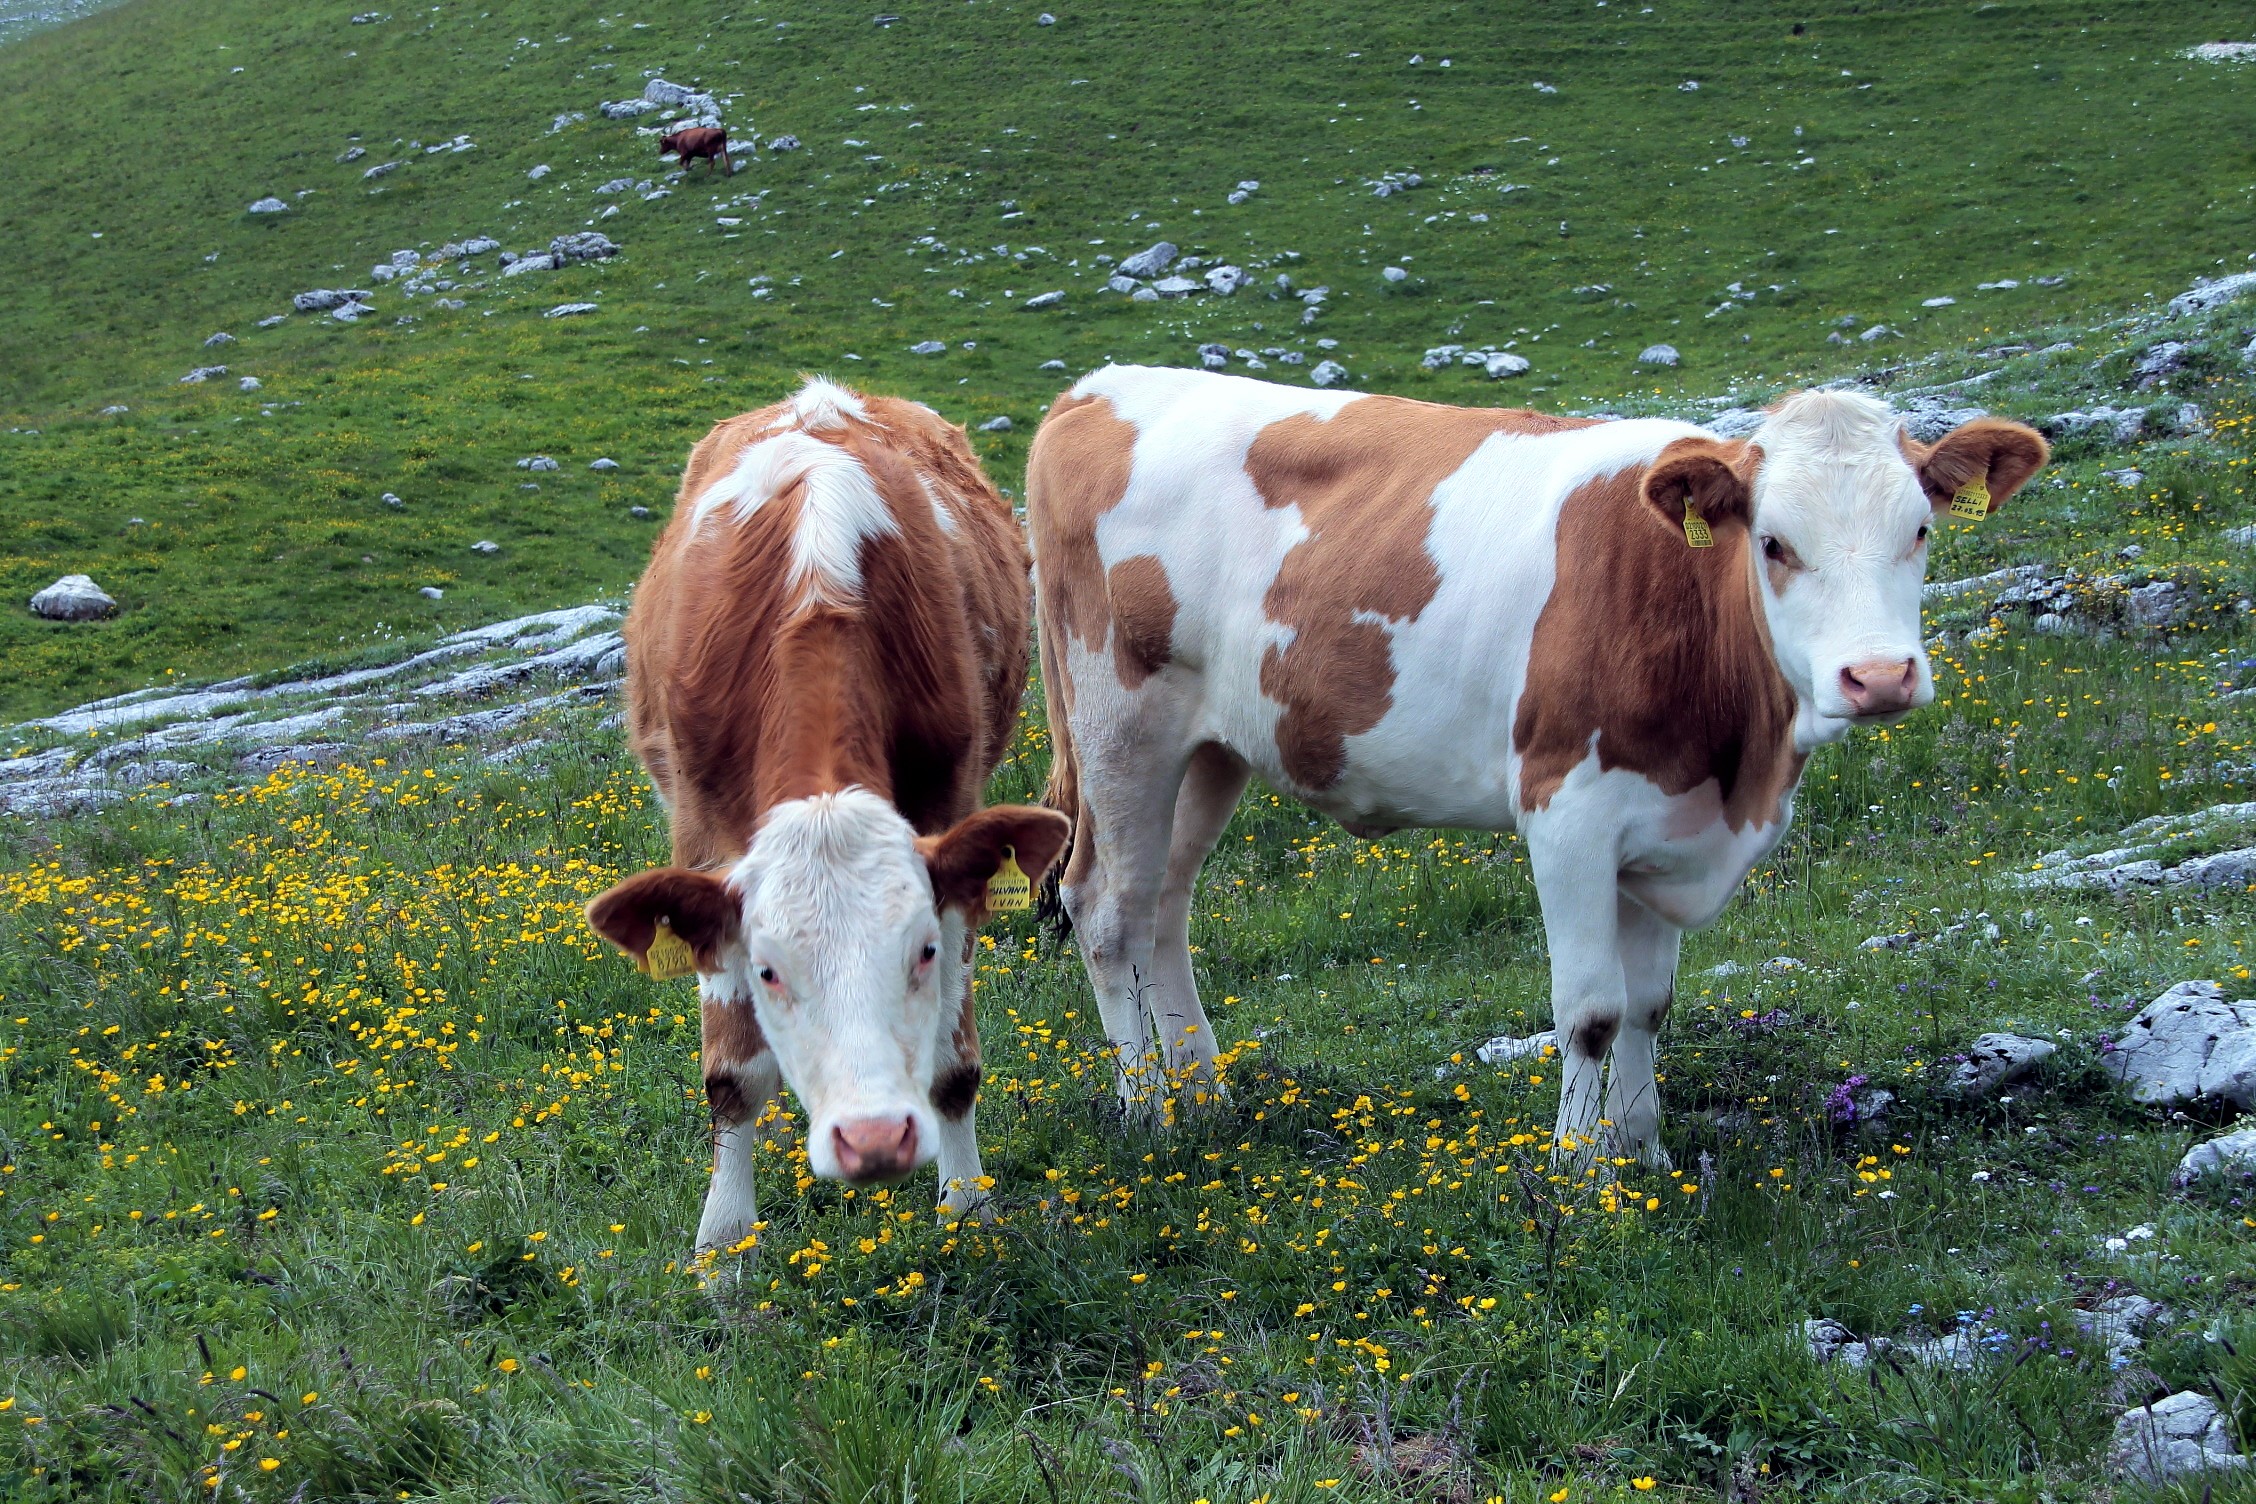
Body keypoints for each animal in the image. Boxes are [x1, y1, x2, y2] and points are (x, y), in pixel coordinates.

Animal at [586, 376, 1069, 1250]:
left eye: (919, 952)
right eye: (769, 969)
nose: (872, 1138)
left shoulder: (952, 835)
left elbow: (953, 1063)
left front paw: (966, 1206)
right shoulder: (704, 851)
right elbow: (733, 1078)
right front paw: (721, 1248)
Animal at [1027, 365, 2045, 1166]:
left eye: (1921, 531)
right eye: (1773, 543)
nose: (1879, 676)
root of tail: (1102, 388)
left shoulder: (1664, 820)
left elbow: (1649, 1005)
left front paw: (1645, 1153)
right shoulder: (1568, 813)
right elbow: (1591, 1008)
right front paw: (1582, 1173)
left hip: (1213, 748)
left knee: (1164, 905)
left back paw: (1205, 1097)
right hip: (1120, 724)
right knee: (1107, 911)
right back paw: (1149, 1114)